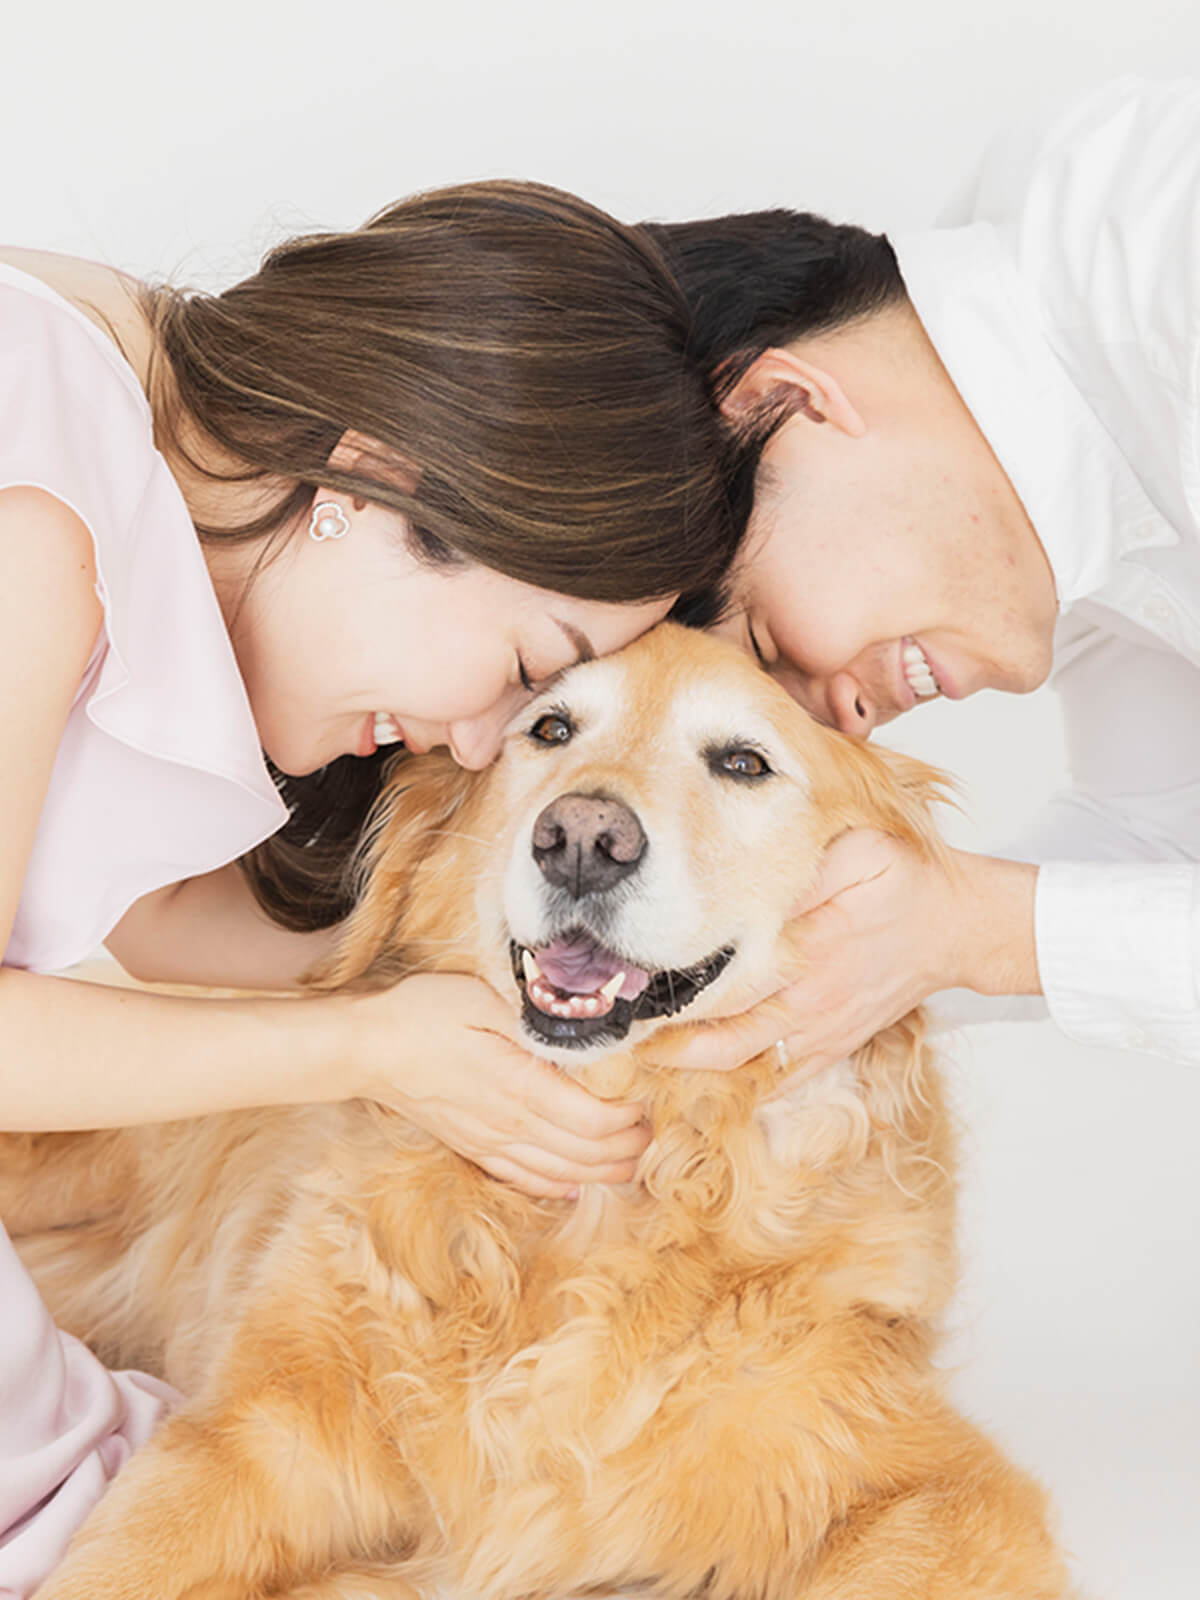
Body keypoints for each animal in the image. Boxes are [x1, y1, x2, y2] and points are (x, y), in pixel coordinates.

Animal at [0, 624, 1068, 1600]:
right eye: (550, 727)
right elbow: (123, 1565)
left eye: (743, 763)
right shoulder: (250, 1441)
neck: (599, 1213)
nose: (584, 839)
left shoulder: (934, 1484)